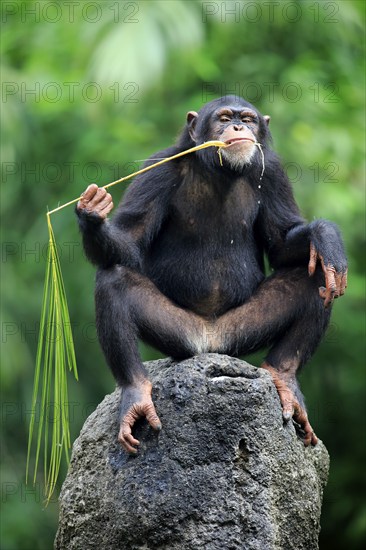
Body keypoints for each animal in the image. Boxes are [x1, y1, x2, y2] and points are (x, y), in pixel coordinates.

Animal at [76, 97, 346, 454]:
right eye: (224, 118)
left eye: (248, 118)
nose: (238, 126)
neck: (221, 172)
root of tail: (211, 343)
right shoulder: (156, 169)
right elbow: (130, 239)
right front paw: (92, 213)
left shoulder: (274, 172)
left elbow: (281, 242)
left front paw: (325, 235)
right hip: (180, 336)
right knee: (114, 277)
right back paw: (135, 393)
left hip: (240, 335)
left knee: (317, 279)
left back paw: (284, 378)